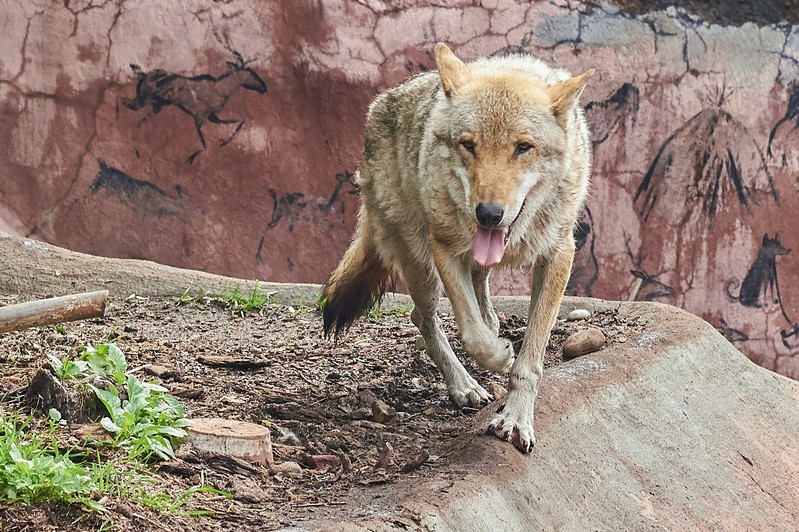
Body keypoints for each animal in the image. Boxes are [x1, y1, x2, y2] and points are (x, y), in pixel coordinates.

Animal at [320, 44, 592, 454]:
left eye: (523, 147)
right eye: (468, 144)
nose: (489, 214)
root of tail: (377, 105)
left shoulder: (559, 254)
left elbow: (530, 358)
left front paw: (516, 418)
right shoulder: (445, 249)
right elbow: (472, 334)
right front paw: (498, 357)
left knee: (480, 296)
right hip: (420, 263)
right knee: (423, 318)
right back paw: (463, 385)